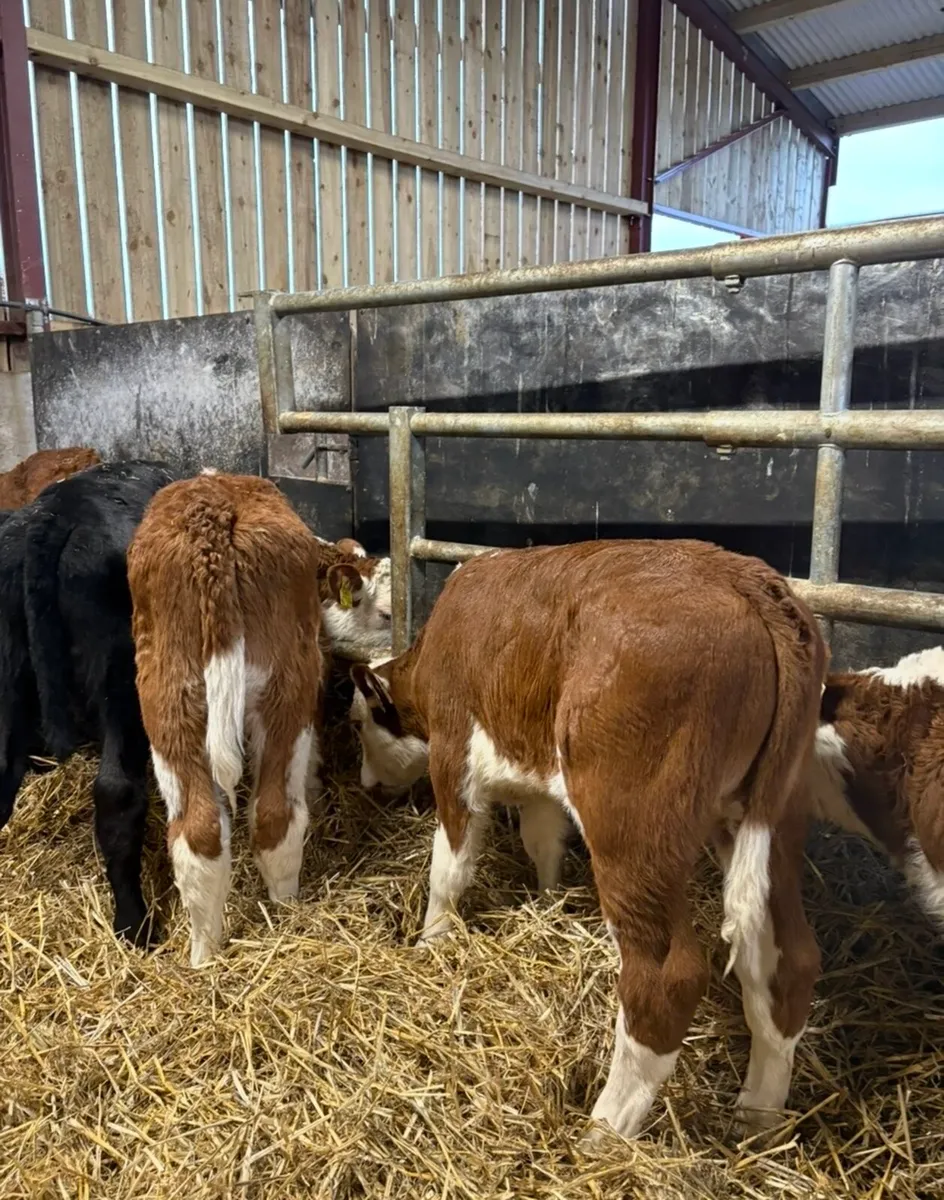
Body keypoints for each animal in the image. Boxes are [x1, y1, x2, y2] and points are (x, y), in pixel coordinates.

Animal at [128, 472, 325, 967]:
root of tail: (211, 512)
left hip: (169, 702)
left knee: (199, 834)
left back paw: (205, 956)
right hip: (289, 691)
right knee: (275, 816)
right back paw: (285, 918)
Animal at [348, 540, 826, 1141]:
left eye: (358, 724)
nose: (365, 784)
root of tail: (747, 580)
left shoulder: (453, 754)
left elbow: (450, 868)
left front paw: (430, 941)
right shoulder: (536, 778)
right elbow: (543, 841)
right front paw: (547, 902)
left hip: (632, 828)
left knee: (666, 979)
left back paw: (603, 1133)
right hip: (771, 822)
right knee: (787, 960)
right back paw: (758, 1119)